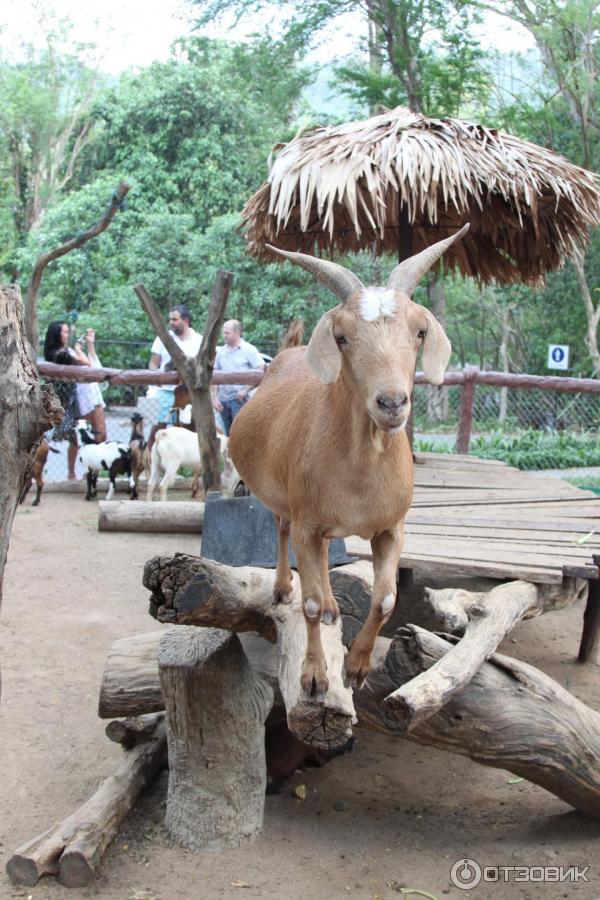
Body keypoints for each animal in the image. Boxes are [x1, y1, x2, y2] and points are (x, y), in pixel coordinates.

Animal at [230, 223, 468, 696]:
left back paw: (334, 606)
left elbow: (387, 597)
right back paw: (283, 587)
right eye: (341, 337)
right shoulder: (307, 521)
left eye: (419, 332)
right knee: (282, 532)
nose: (391, 403)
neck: (359, 477)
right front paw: (314, 675)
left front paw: (357, 666)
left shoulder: (391, 528)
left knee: (324, 560)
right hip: (285, 502)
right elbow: (308, 602)